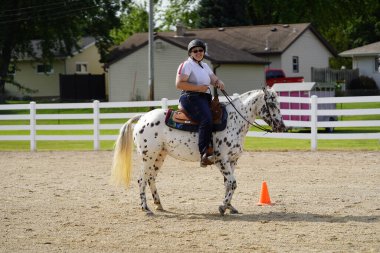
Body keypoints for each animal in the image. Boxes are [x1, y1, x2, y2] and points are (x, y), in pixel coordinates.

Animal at [110, 87, 284, 215]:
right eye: (272, 104)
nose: (281, 126)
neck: (234, 121)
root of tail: (142, 117)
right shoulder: (221, 160)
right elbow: (233, 183)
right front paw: (222, 207)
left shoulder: (232, 160)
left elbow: (228, 184)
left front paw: (230, 207)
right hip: (148, 157)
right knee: (142, 180)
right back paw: (145, 208)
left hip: (159, 156)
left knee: (151, 178)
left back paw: (159, 204)